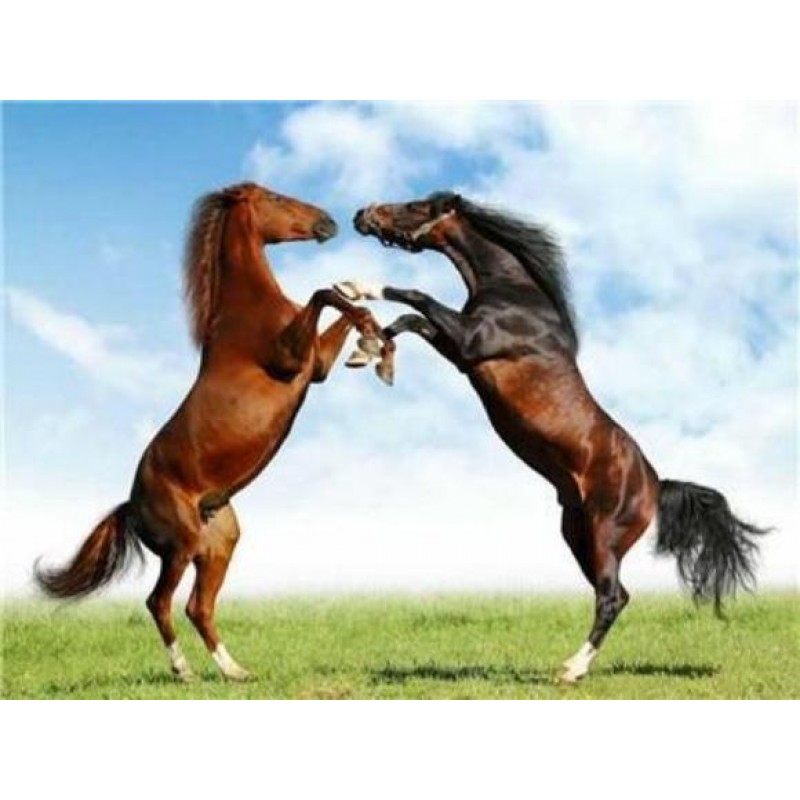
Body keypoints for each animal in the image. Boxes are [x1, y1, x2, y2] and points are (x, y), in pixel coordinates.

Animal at [34, 181, 392, 682]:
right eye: (275, 198)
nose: (329, 222)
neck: (247, 307)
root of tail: (132, 504)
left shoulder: (316, 365)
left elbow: (338, 303)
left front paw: (370, 332)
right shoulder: (291, 358)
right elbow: (322, 295)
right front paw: (369, 337)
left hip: (219, 546)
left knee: (198, 607)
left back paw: (235, 670)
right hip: (180, 547)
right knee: (160, 602)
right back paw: (183, 670)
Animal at [338, 191, 768, 683]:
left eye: (414, 205)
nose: (362, 215)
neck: (513, 294)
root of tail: (656, 485)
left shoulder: (470, 343)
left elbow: (414, 297)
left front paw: (357, 289)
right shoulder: (459, 352)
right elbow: (410, 320)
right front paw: (368, 351)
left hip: (605, 534)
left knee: (612, 597)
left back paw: (571, 670)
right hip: (577, 534)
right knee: (616, 594)